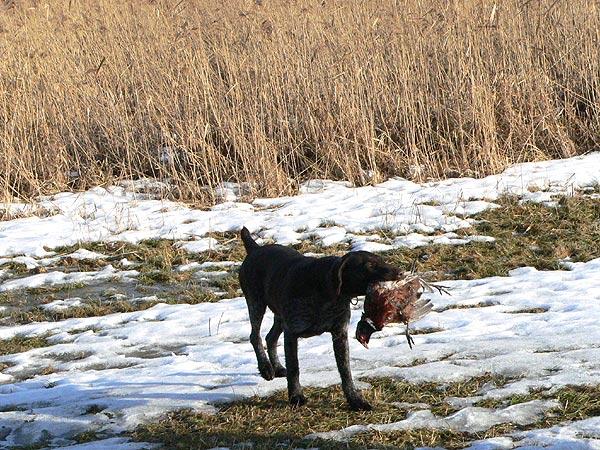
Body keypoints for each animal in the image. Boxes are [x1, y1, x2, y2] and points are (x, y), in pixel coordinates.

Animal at [237, 227, 400, 410]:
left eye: (382, 261)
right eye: (370, 265)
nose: (400, 272)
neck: (326, 290)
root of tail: (255, 248)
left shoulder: (339, 334)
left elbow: (345, 371)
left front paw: (355, 400)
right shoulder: (292, 333)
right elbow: (294, 368)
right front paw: (296, 396)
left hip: (279, 316)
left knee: (270, 337)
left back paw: (277, 368)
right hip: (256, 304)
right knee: (255, 336)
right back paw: (266, 368)